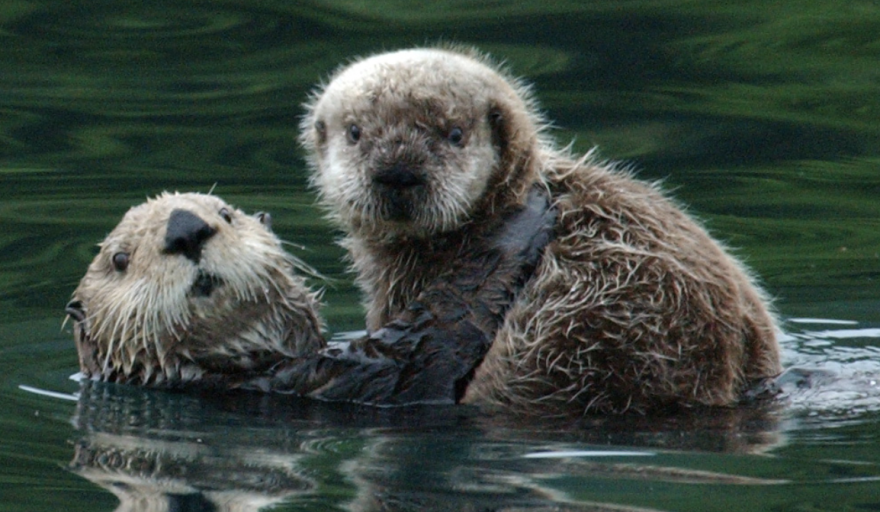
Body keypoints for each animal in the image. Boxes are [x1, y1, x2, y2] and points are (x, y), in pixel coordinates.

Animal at [66, 191, 554, 404]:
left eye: (225, 213)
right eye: (120, 259)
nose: (186, 228)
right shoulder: (345, 377)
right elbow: (439, 331)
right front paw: (526, 214)